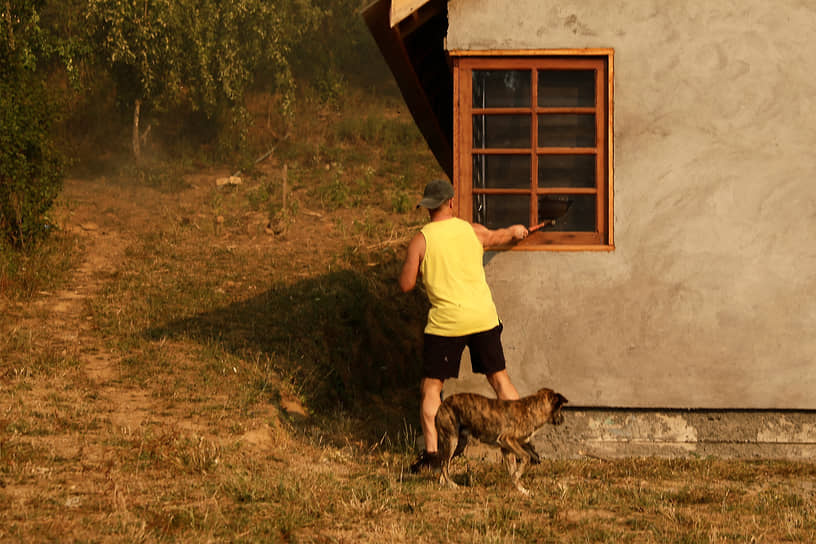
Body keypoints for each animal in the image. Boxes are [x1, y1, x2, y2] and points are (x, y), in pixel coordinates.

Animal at [434, 384, 568, 496]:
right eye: (561, 408)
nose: (563, 420)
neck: (533, 409)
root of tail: (442, 405)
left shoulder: (506, 449)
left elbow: (513, 472)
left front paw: (522, 490)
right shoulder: (507, 440)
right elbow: (526, 457)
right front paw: (519, 478)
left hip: (459, 445)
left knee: (444, 463)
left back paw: (444, 483)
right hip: (451, 440)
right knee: (444, 464)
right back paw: (452, 484)